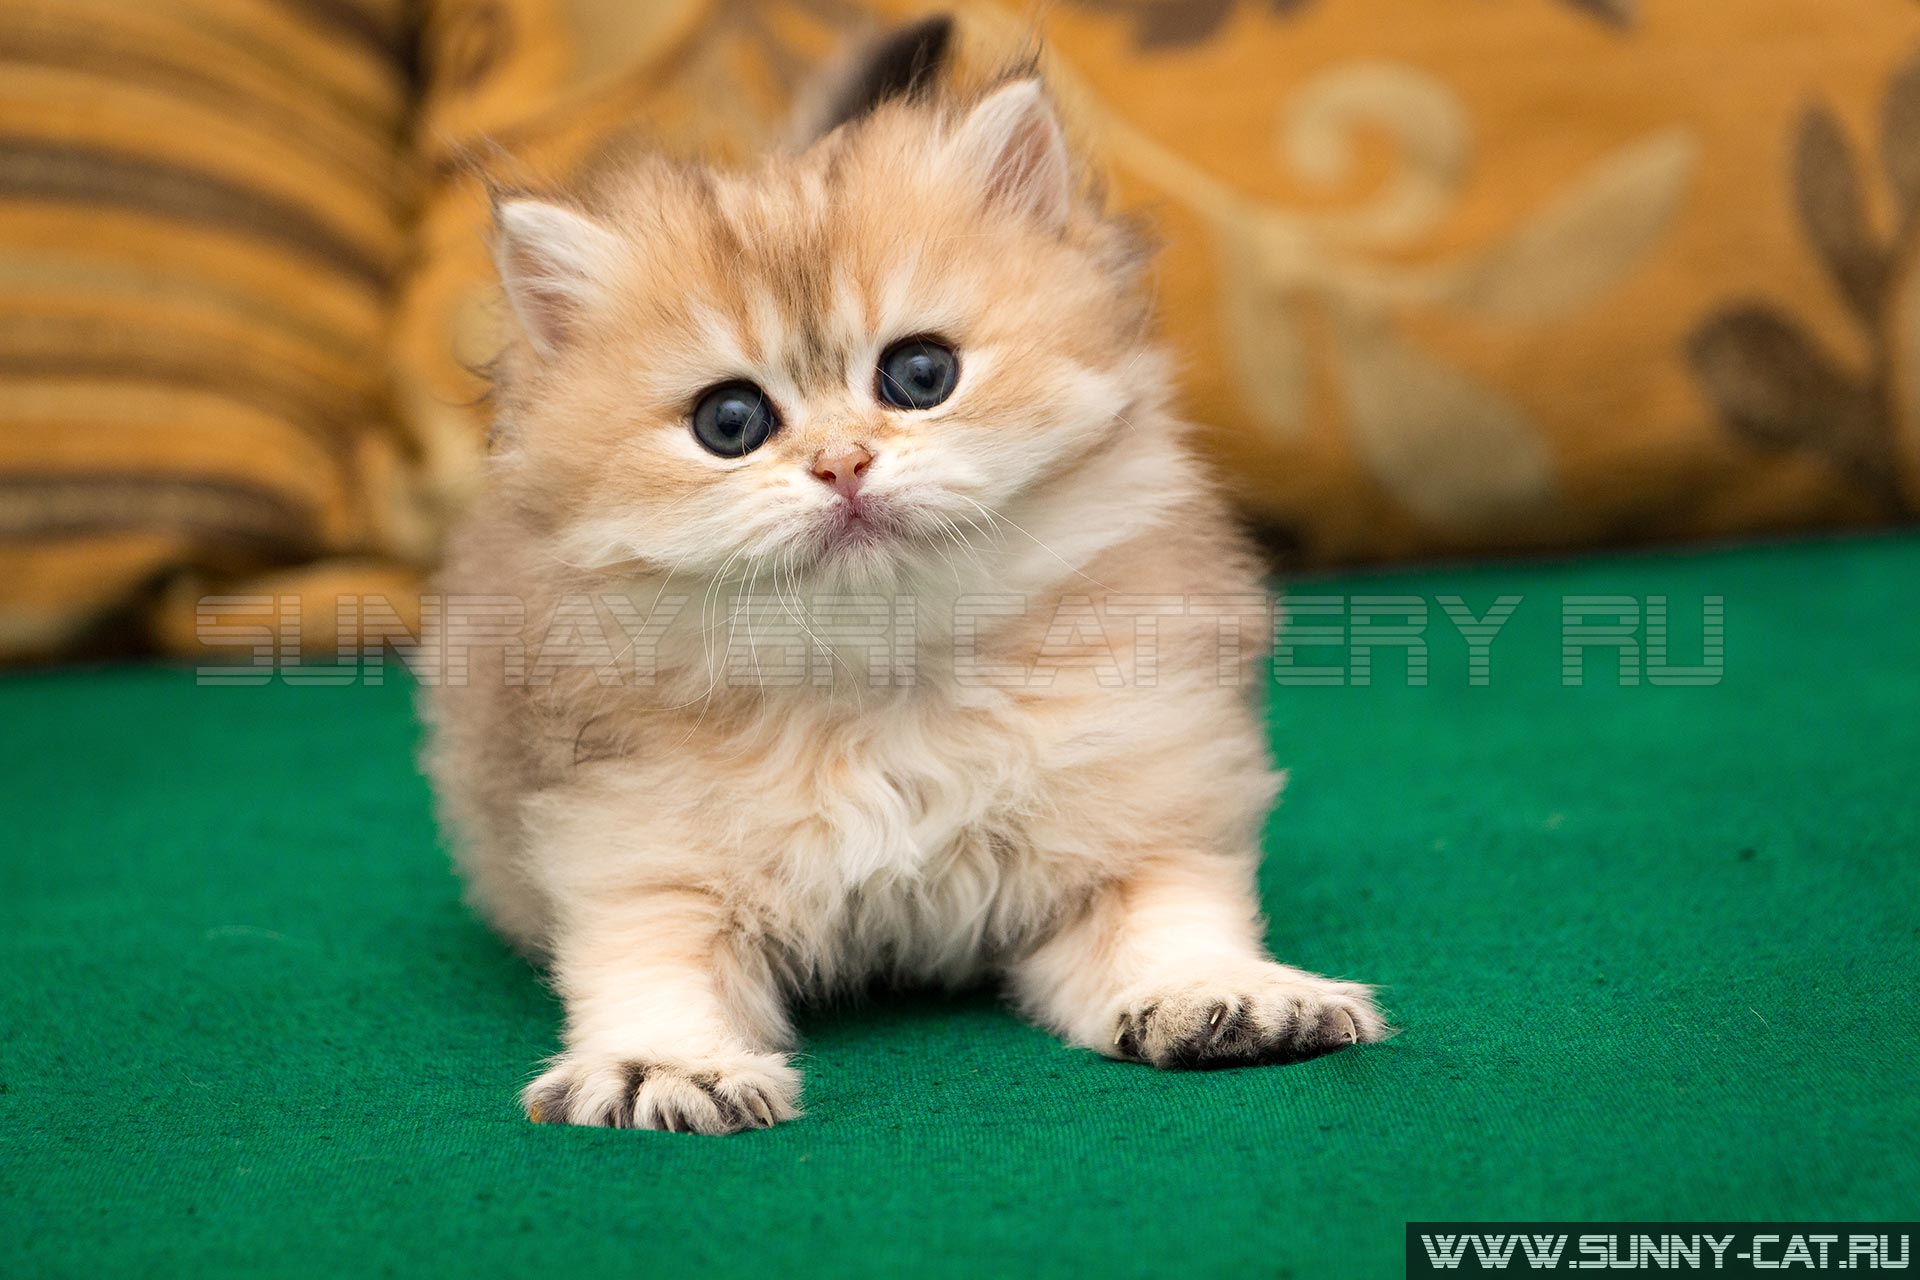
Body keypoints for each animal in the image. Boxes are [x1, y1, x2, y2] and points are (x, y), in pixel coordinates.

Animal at [424, 27, 1382, 1128]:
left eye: (920, 375)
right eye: (729, 421)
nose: (843, 464)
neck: (886, 686)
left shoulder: (1132, 810)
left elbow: (1171, 916)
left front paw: (1221, 991)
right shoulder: (638, 853)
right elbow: (649, 968)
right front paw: (665, 1063)